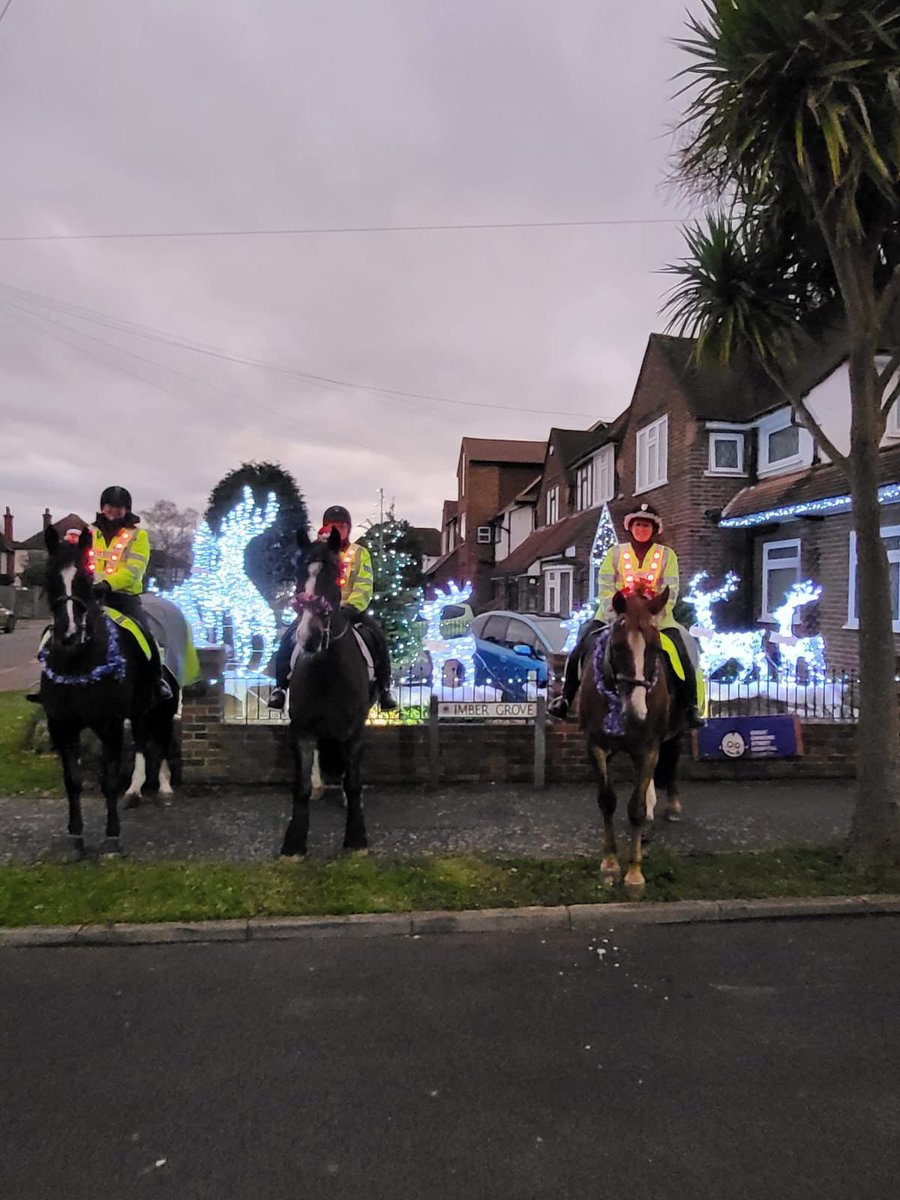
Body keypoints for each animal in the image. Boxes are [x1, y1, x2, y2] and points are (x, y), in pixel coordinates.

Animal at [36, 525, 177, 854]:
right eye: (48, 574)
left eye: (87, 578)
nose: (68, 634)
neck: (78, 662)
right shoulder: (63, 726)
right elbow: (72, 781)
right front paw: (76, 836)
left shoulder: (109, 725)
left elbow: (109, 780)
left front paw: (112, 837)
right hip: (138, 712)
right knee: (141, 743)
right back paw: (135, 790)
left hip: (161, 709)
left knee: (161, 741)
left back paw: (164, 788)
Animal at [278, 530, 369, 859]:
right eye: (298, 574)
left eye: (333, 574)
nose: (309, 637)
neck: (328, 669)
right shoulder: (302, 728)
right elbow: (301, 786)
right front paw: (293, 844)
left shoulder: (354, 730)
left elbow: (353, 782)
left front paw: (356, 838)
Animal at [578, 585, 691, 897]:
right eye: (617, 647)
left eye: (655, 648)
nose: (637, 713)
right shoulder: (596, 747)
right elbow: (607, 801)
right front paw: (609, 865)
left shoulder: (649, 748)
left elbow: (636, 810)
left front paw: (635, 875)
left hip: (676, 732)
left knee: (672, 759)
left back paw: (673, 806)